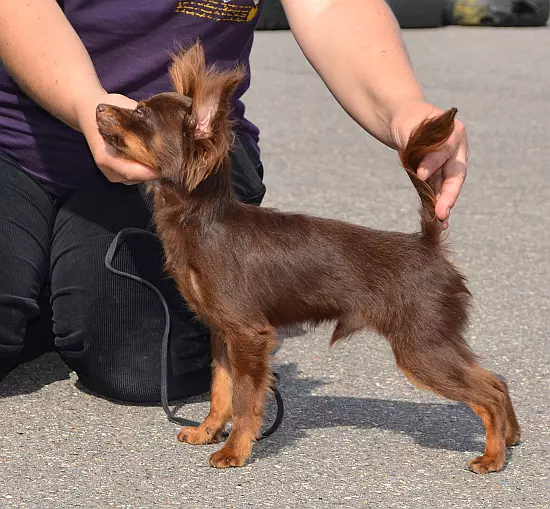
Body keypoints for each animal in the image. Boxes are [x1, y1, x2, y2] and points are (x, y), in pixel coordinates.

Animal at [96, 41, 520, 470]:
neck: (204, 221)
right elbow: (220, 390)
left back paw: (492, 456)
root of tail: (427, 243)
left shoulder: (248, 335)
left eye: (140, 113)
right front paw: (207, 431)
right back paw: (510, 437)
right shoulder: (222, 334)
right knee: (496, 381)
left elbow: (245, 401)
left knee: (488, 392)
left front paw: (235, 449)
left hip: (420, 348)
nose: (98, 105)